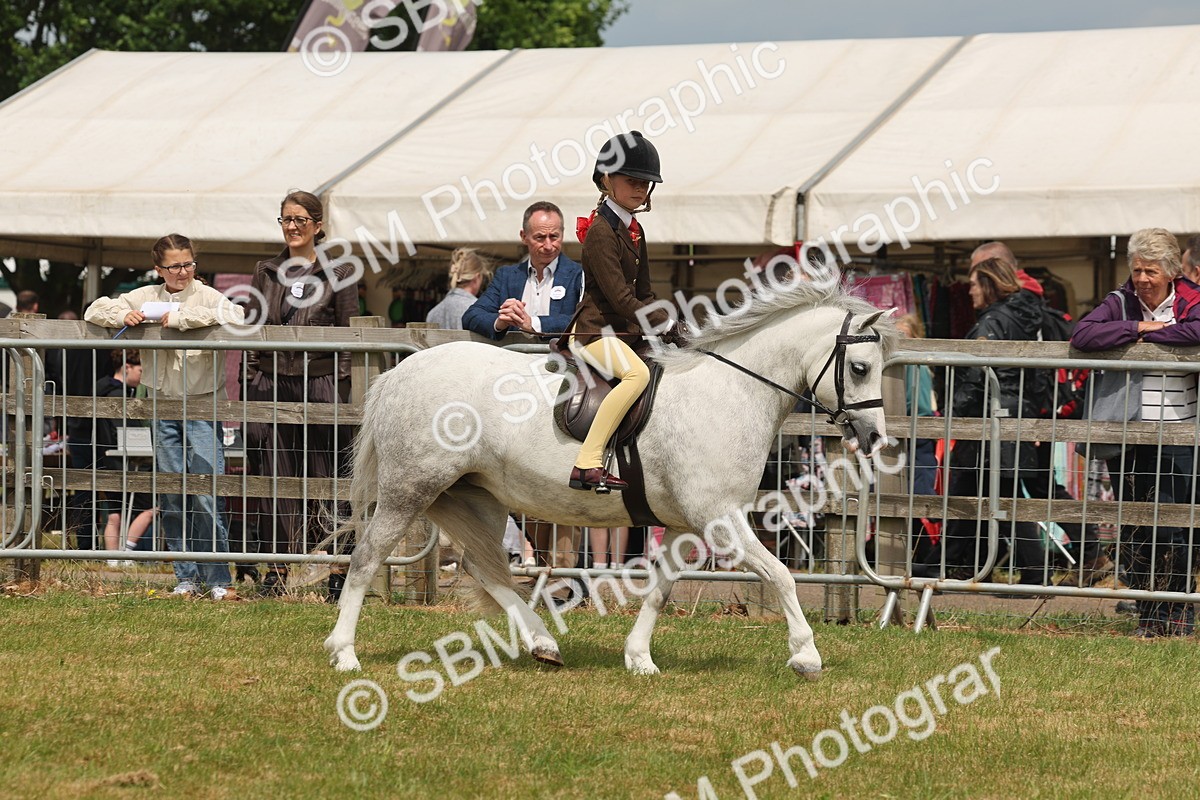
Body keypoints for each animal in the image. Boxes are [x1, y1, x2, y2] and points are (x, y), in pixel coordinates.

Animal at [325, 278, 896, 679]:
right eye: (861, 367)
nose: (874, 437)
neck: (730, 392)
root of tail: (401, 372)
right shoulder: (720, 516)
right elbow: (780, 574)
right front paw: (806, 655)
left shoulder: (685, 524)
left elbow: (661, 591)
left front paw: (639, 658)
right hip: (411, 489)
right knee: (367, 558)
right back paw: (344, 653)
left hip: (471, 495)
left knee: (485, 569)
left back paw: (543, 644)